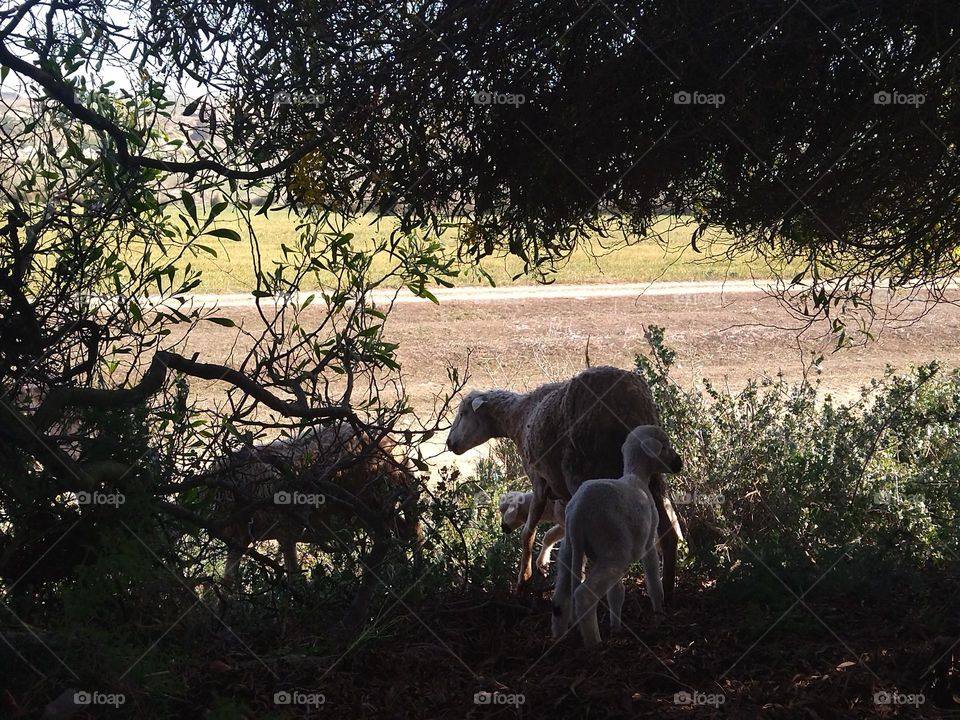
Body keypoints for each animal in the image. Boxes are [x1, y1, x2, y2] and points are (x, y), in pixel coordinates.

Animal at [206, 425, 421, 583]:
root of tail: (397, 449)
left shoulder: (286, 530)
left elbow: (294, 576)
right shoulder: (240, 539)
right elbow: (228, 578)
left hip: (375, 502)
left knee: (405, 533)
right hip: (371, 510)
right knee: (402, 534)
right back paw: (406, 572)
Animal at [447, 365, 682, 599]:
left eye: (463, 413)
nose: (449, 443)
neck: (519, 417)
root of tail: (629, 396)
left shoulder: (539, 481)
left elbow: (528, 533)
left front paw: (524, 580)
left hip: (585, 470)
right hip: (653, 475)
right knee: (668, 531)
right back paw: (667, 589)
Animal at [551, 425, 683, 647]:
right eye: (665, 446)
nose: (679, 463)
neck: (636, 476)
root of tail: (578, 512)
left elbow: (616, 593)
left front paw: (616, 627)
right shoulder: (648, 543)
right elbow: (654, 584)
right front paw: (659, 617)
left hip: (570, 549)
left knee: (560, 598)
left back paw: (559, 640)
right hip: (613, 550)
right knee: (584, 595)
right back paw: (594, 643)